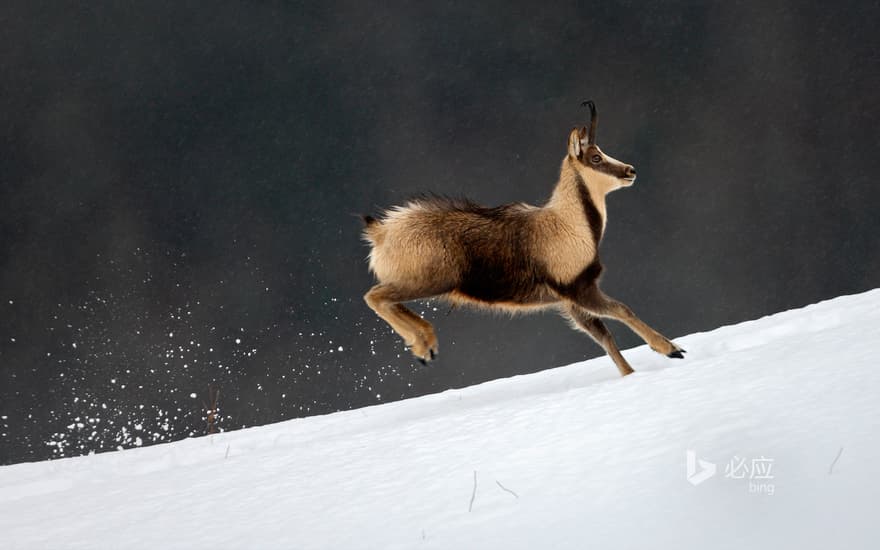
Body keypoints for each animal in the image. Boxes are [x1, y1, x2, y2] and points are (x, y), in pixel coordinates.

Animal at [360, 101, 684, 378]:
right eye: (596, 157)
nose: (630, 171)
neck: (569, 224)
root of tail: (381, 232)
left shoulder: (570, 302)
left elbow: (602, 334)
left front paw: (631, 373)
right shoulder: (578, 289)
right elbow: (621, 309)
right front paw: (672, 349)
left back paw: (423, 345)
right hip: (430, 280)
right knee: (375, 296)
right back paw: (425, 345)